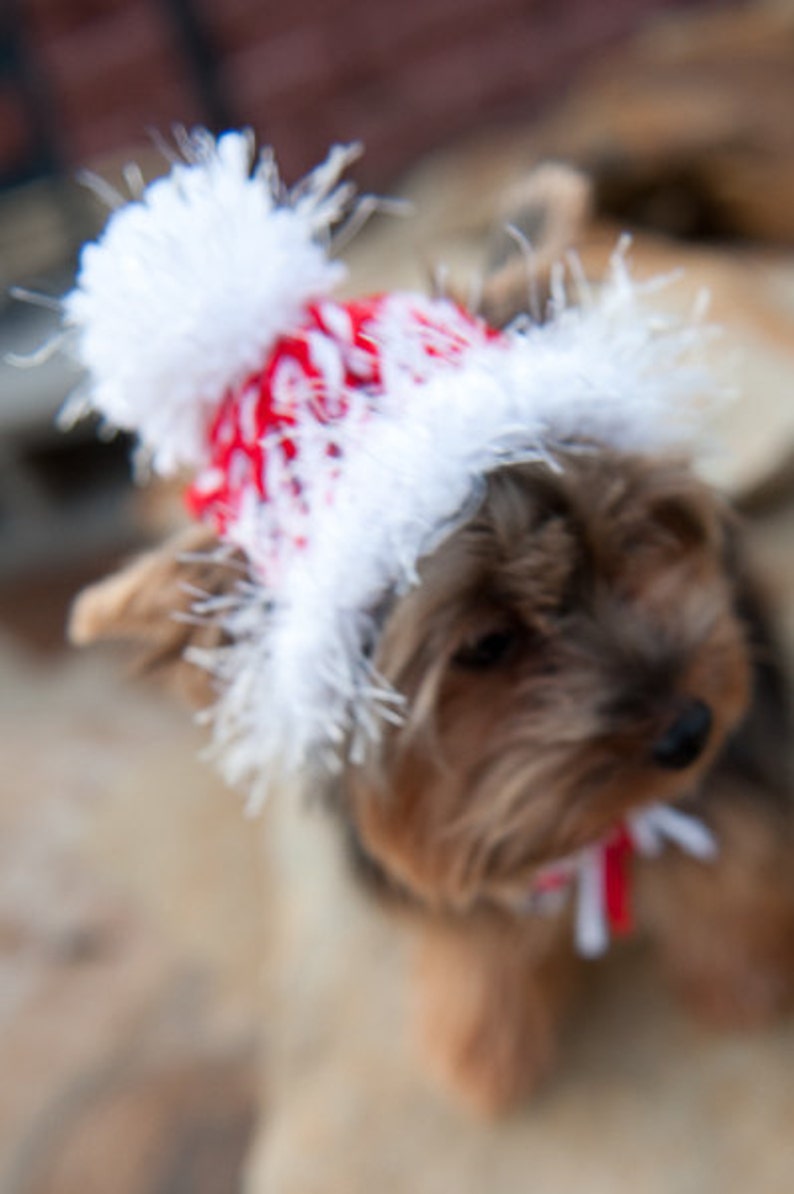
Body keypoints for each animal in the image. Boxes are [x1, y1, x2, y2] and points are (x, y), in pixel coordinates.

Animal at [68, 139, 792, 1117]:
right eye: (485, 646)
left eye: (629, 543)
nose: (689, 729)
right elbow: (472, 944)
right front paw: (486, 1044)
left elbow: (734, 862)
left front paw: (745, 977)